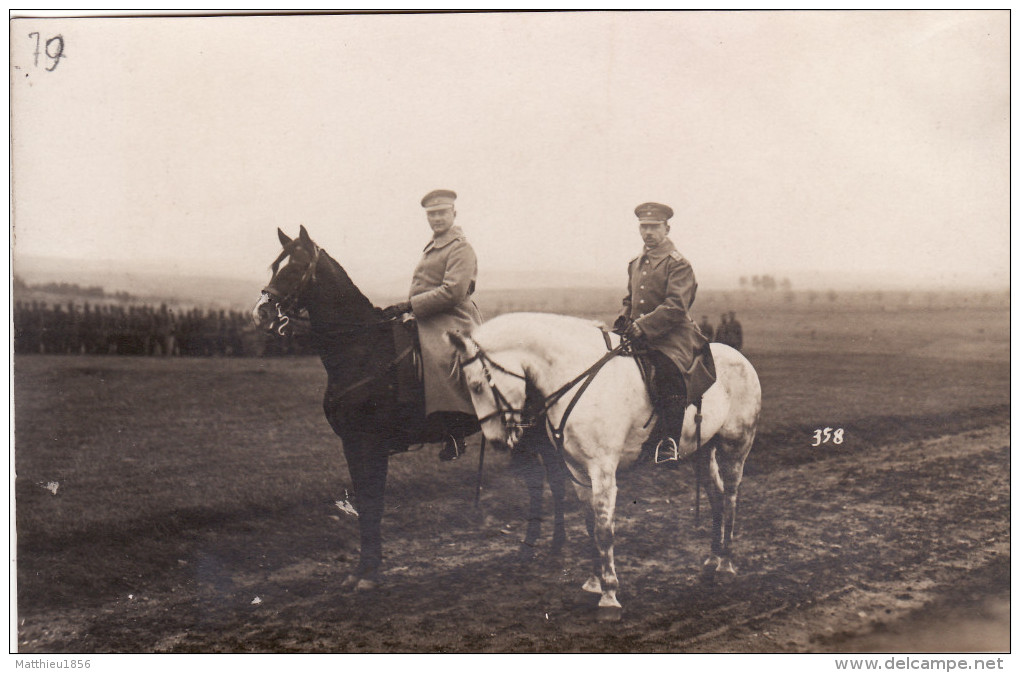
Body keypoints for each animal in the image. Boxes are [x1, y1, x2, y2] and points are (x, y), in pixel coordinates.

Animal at [247, 226, 567, 587]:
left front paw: (370, 573)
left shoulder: (370, 442)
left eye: (297, 267)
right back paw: (527, 551)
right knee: (536, 480)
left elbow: (373, 501)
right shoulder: (352, 444)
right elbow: (366, 502)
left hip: (535, 429)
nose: (261, 312)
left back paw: (555, 549)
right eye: (275, 266)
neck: (363, 349)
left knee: (554, 478)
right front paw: (362, 571)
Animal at [450, 312, 762, 615]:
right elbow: (591, 525)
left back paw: (726, 564)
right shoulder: (577, 470)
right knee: (716, 497)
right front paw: (593, 583)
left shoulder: (602, 471)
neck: (575, 377)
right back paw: (711, 561)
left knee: (731, 497)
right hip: (702, 450)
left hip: (736, 447)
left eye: (477, 386)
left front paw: (609, 594)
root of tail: (740, 357)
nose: (497, 441)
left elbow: (604, 529)